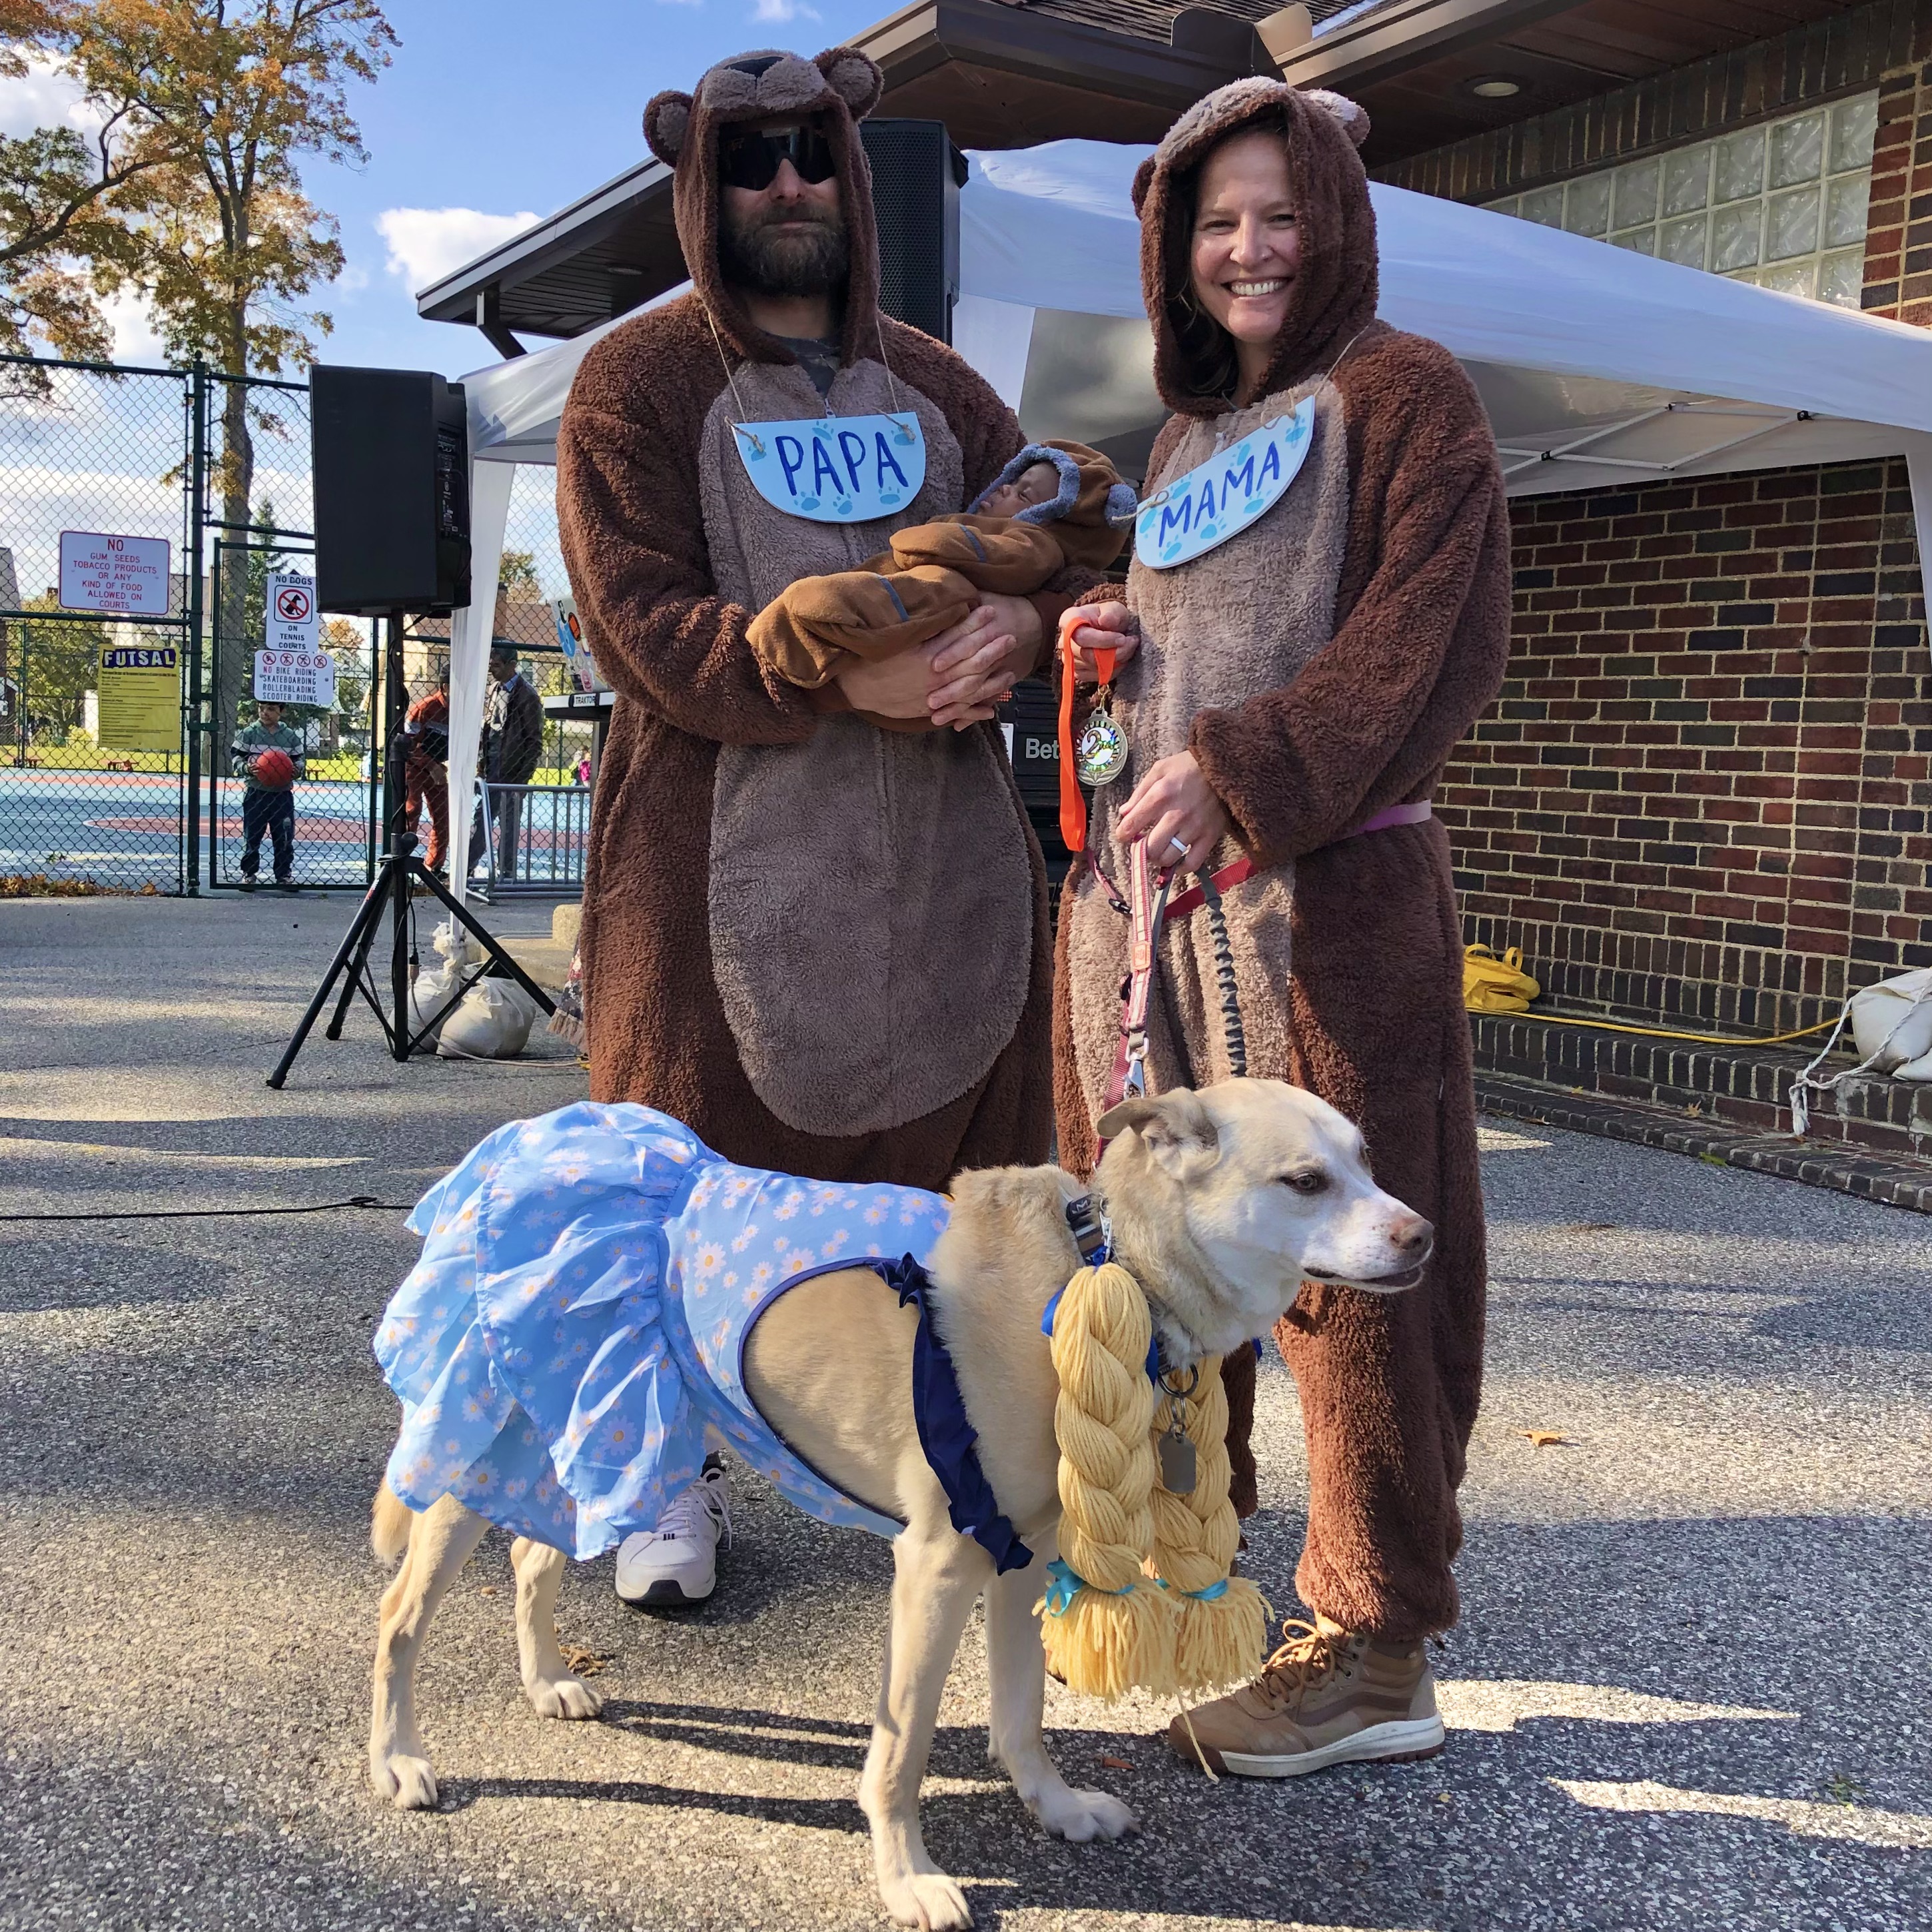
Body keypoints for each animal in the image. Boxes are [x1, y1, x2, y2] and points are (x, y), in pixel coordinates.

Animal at [363, 1082, 1430, 1924]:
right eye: (1306, 1181)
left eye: (1366, 1160)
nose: (1422, 1234)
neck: (1100, 1271)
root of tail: (528, 1139)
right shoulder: (939, 1564)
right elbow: (903, 1747)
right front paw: (906, 1876)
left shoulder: (1021, 1558)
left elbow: (1020, 1713)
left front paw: (1054, 1807)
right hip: (491, 1452)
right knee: (401, 1618)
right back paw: (400, 1761)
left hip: (601, 1427)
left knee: (531, 1556)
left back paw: (549, 1680)